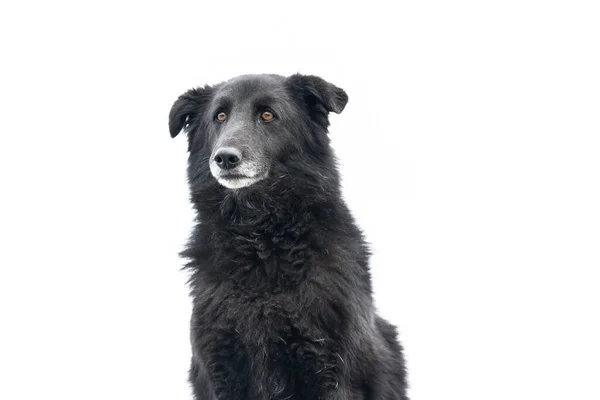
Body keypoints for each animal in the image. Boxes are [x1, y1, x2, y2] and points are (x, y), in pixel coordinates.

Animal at [171, 74, 410, 396]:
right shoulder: (220, 369)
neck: (260, 241)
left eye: (268, 115)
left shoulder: (332, 371)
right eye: (219, 117)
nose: (224, 158)